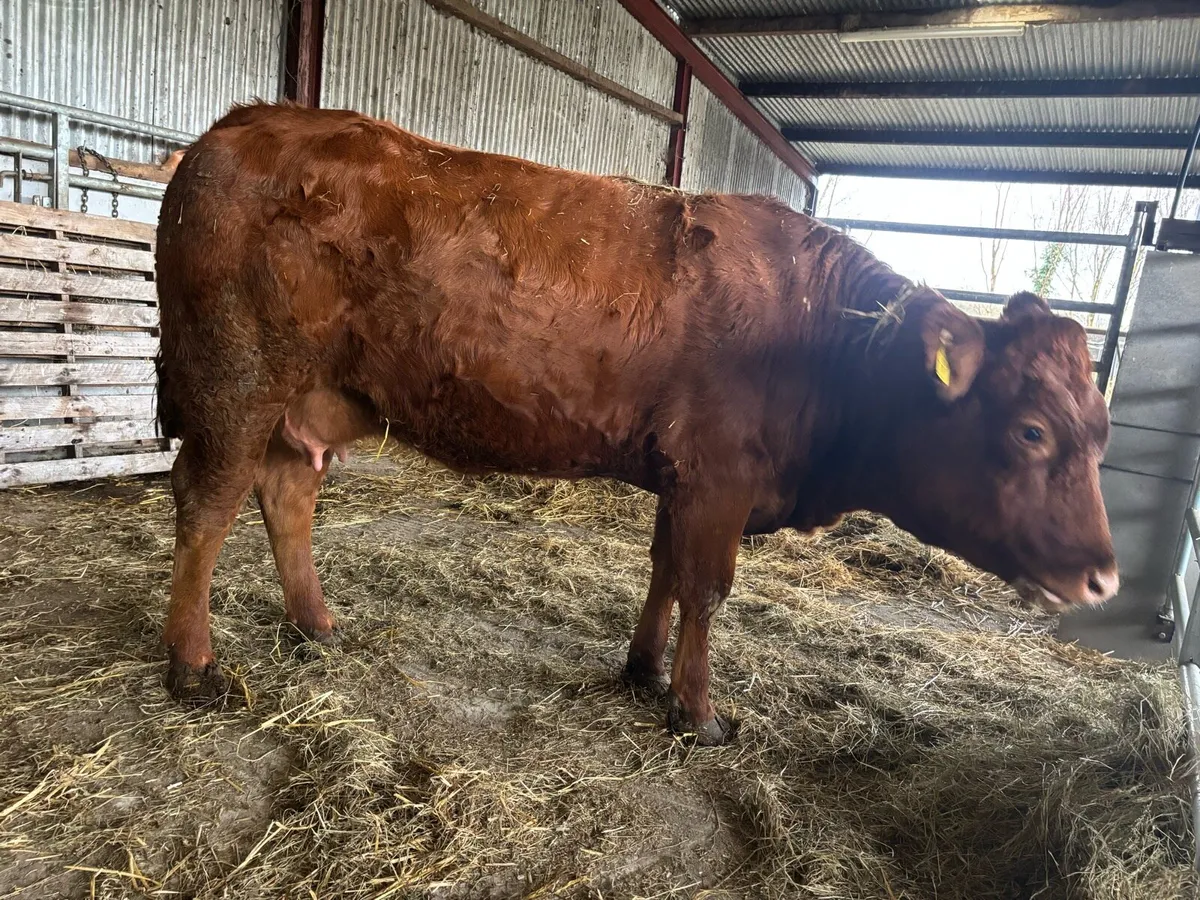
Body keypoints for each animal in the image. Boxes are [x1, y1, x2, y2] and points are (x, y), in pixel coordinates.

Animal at [154, 103, 1117, 745]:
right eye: (1032, 431)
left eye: (1104, 429)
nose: (1103, 576)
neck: (817, 336)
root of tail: (242, 123)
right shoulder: (721, 476)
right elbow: (707, 588)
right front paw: (698, 712)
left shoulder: (682, 478)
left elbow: (663, 570)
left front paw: (643, 670)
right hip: (235, 381)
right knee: (206, 505)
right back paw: (192, 665)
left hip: (307, 397)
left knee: (287, 494)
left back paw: (313, 624)